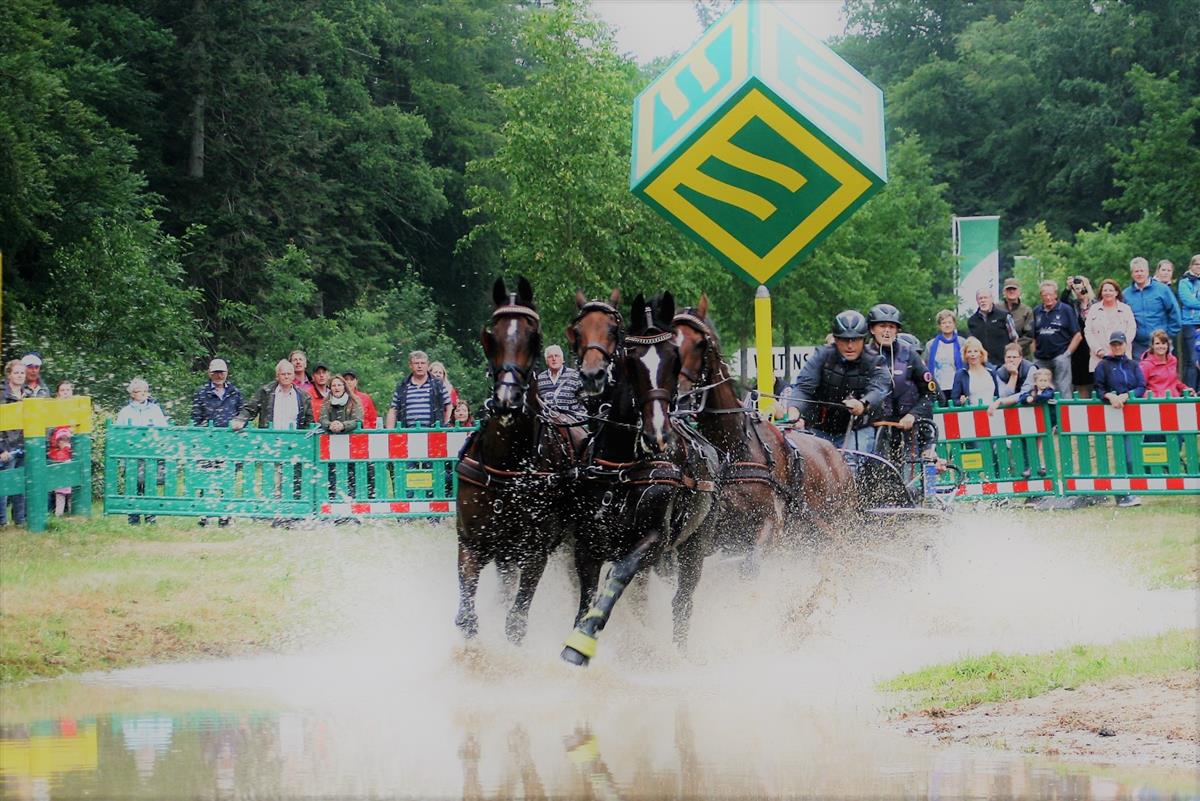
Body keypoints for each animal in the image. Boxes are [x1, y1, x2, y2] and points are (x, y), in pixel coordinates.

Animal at [451, 275, 578, 642]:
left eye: (533, 337)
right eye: (491, 336)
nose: (507, 400)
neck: (507, 462)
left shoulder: (534, 551)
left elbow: (516, 621)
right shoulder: (472, 542)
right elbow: (467, 617)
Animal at [556, 291, 715, 666]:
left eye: (675, 359)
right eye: (632, 362)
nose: (658, 434)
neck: (621, 465)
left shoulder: (652, 540)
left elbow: (617, 577)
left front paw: (581, 643)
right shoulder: (587, 541)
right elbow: (587, 594)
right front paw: (577, 641)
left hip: (695, 544)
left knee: (682, 601)